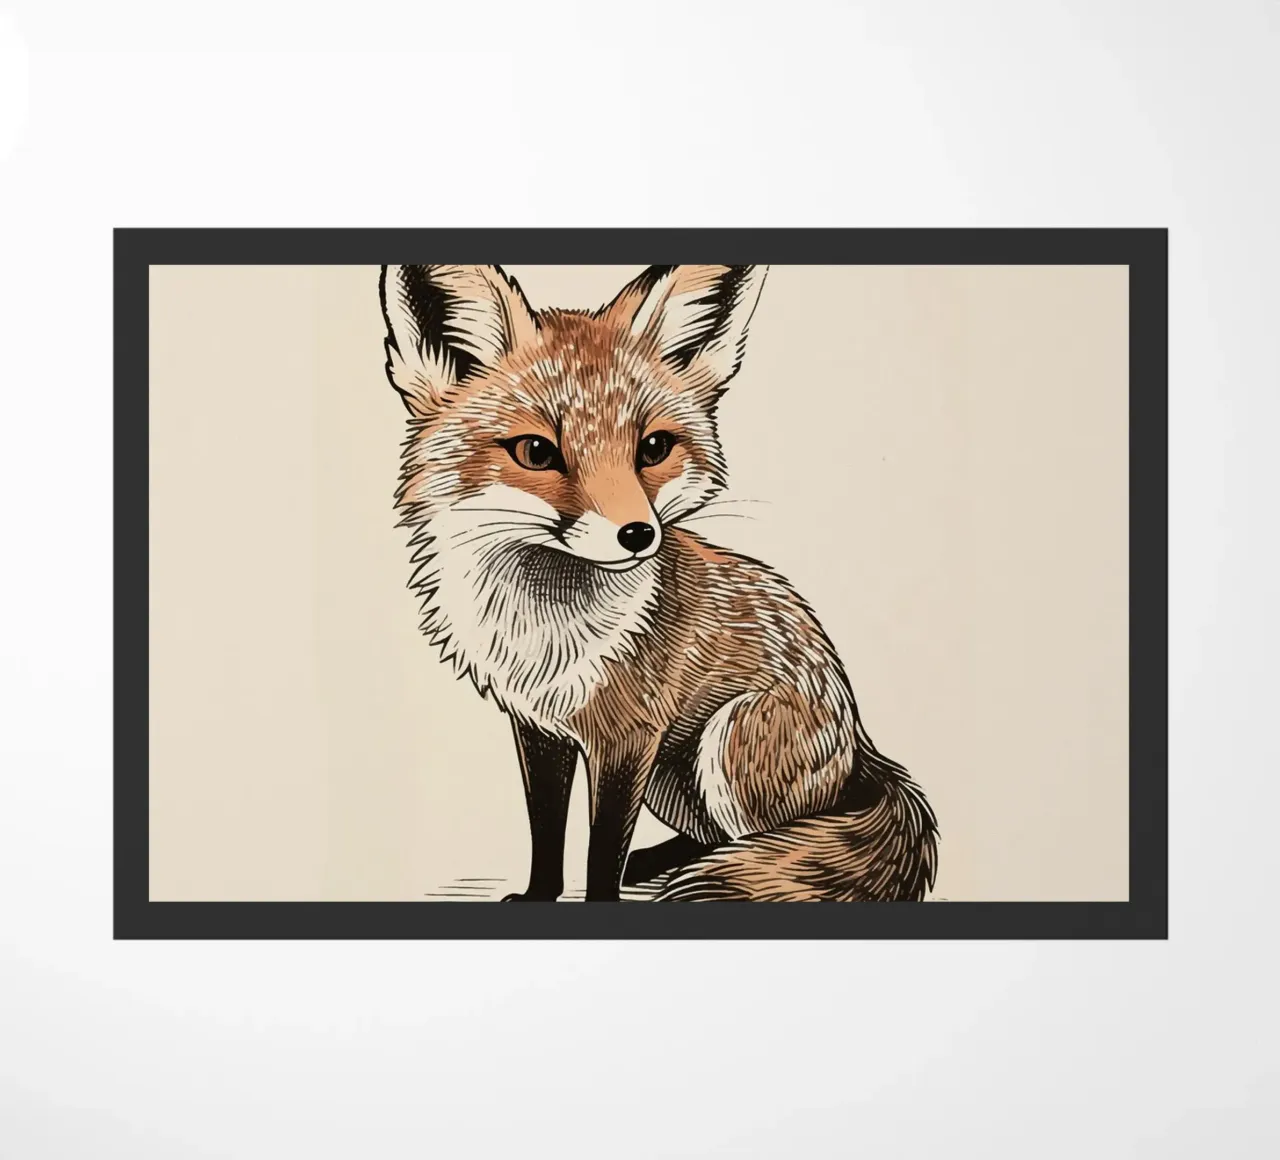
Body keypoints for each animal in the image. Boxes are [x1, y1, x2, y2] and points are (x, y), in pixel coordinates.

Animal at [378, 263, 937, 902]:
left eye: (654, 447)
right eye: (536, 451)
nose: (638, 534)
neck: (544, 632)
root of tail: (862, 747)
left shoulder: (630, 737)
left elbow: (601, 850)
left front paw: (600, 896)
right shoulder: (538, 728)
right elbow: (546, 829)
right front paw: (541, 894)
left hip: (722, 743)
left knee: (769, 841)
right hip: (673, 781)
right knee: (718, 840)